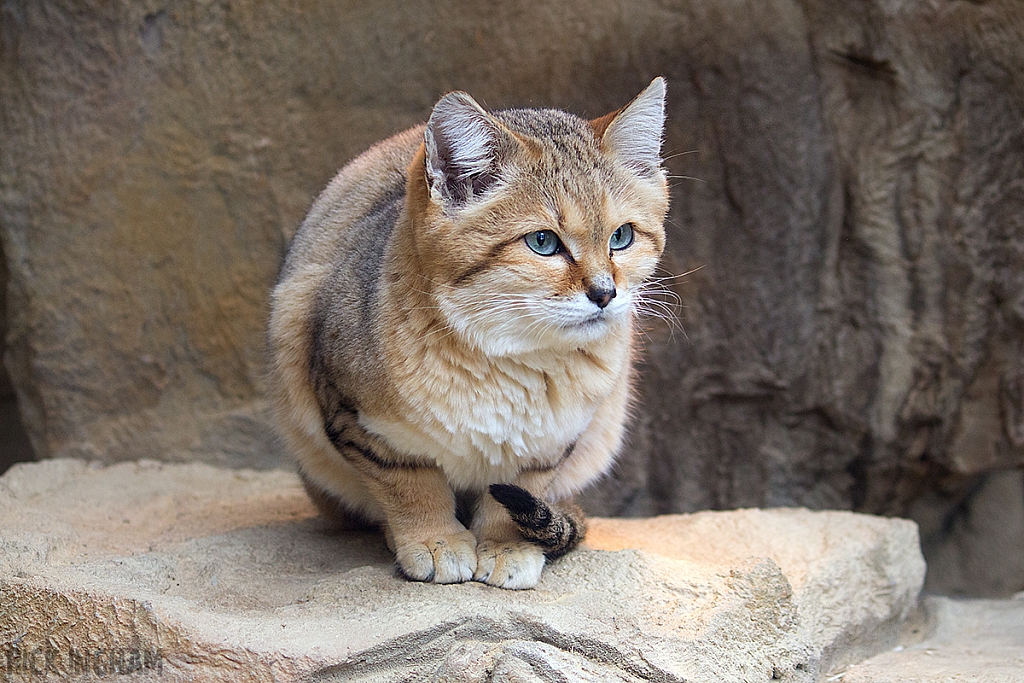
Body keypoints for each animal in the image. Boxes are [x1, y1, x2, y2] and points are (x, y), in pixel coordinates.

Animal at [270, 78, 671, 589]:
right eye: (543, 242)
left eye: (622, 236)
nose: (605, 293)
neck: (510, 361)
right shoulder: (358, 420)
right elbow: (410, 482)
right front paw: (434, 540)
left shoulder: (549, 445)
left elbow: (513, 492)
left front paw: (506, 547)